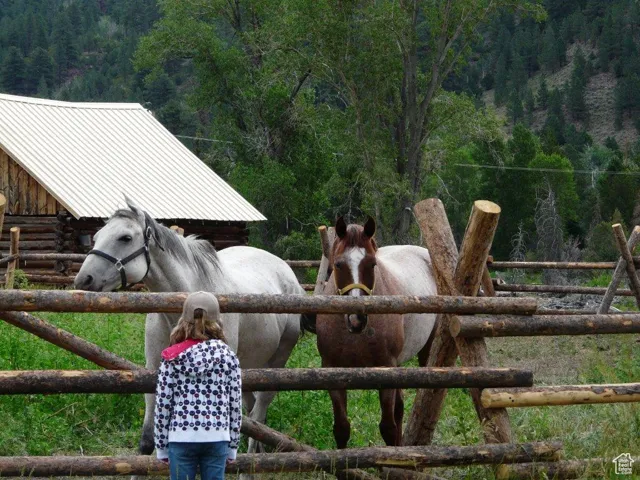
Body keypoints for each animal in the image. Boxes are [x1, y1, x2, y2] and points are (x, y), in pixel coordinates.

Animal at [74, 197, 305, 461]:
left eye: (125, 238)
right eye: (96, 236)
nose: (83, 280)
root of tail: (288, 274)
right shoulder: (154, 368)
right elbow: (148, 440)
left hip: (278, 359)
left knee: (259, 409)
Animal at [315, 216, 437, 448]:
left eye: (372, 264)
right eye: (338, 264)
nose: (357, 318)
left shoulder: (386, 370)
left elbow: (388, 428)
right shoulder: (332, 372)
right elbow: (341, 428)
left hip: (426, 350)